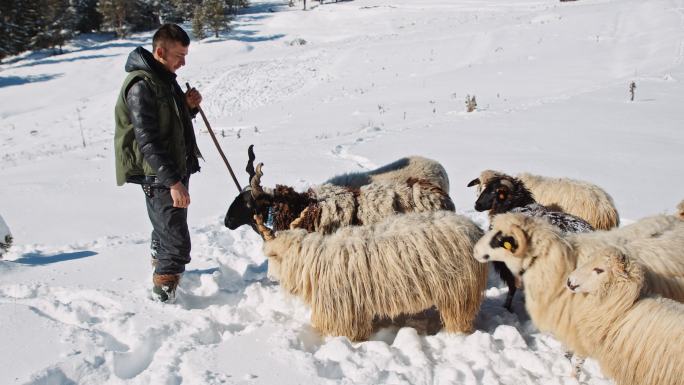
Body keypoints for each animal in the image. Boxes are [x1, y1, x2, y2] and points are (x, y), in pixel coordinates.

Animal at [251, 210, 486, 340]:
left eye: (271, 255)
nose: (270, 279)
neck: (313, 261)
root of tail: (474, 229)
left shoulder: (344, 312)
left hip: (458, 291)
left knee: (459, 318)